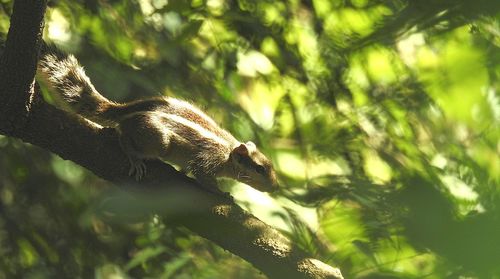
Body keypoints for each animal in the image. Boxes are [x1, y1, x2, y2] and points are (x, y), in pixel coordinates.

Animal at [37, 44, 280, 195]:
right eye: (259, 168)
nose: (276, 187)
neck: (229, 152)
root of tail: (124, 109)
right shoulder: (208, 160)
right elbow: (204, 177)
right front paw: (223, 194)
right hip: (159, 140)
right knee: (124, 135)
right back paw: (133, 156)